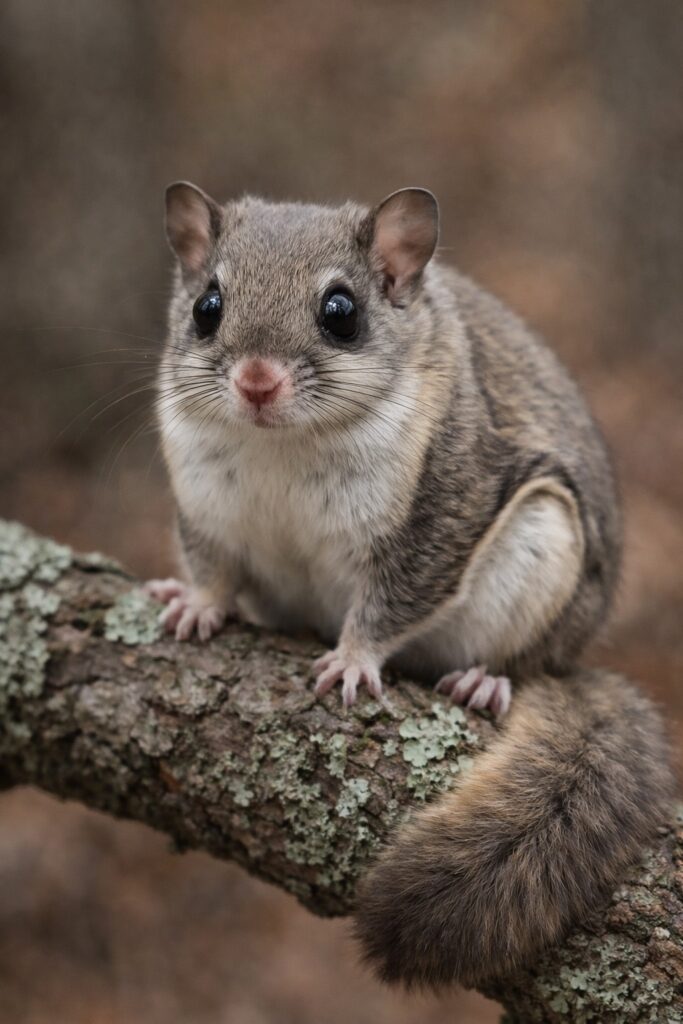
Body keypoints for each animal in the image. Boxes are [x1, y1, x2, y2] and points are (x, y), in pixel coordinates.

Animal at [147, 182, 674, 987]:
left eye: (340, 312)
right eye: (207, 306)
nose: (256, 381)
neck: (281, 445)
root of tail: (573, 654)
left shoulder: (446, 498)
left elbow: (396, 598)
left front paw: (353, 658)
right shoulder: (205, 504)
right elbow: (213, 568)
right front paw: (197, 606)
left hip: (543, 556)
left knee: (524, 659)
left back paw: (487, 679)